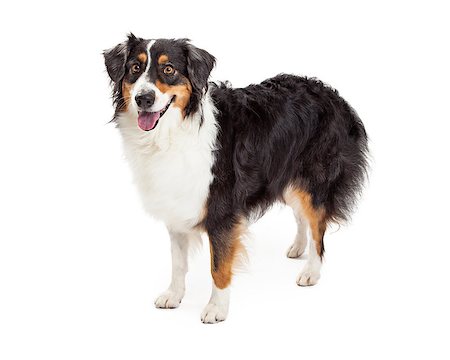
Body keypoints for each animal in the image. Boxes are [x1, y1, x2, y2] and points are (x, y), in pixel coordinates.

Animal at [103, 34, 368, 324]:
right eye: (135, 68)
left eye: (169, 69)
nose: (144, 98)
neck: (172, 132)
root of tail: (333, 94)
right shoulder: (178, 205)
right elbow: (178, 262)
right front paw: (173, 295)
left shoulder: (222, 212)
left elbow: (218, 266)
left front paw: (216, 309)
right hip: (286, 175)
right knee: (302, 216)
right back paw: (298, 248)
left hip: (314, 180)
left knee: (317, 227)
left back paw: (311, 271)